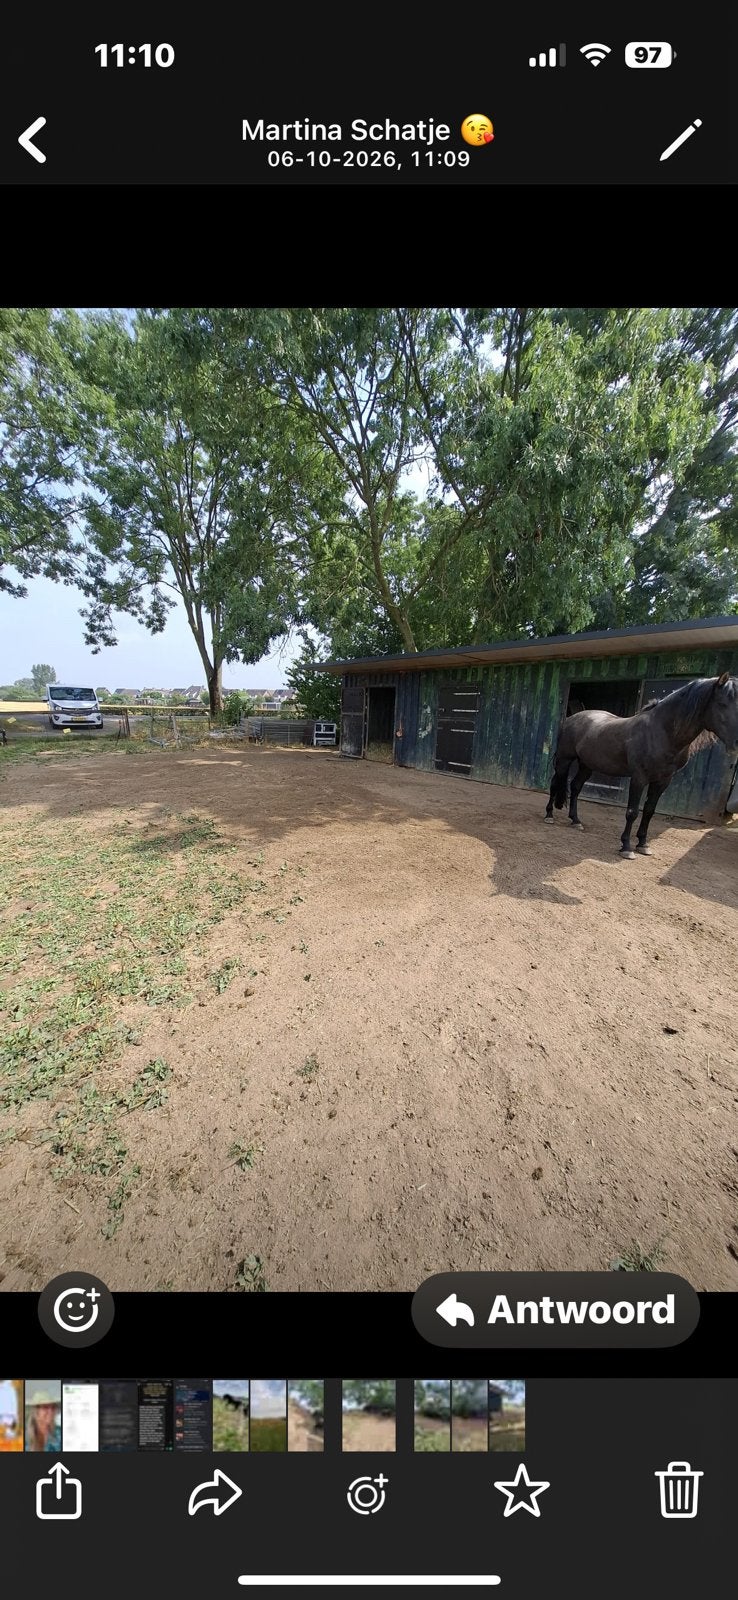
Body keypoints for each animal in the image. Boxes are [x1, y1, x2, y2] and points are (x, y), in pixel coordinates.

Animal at [545, 673, 738, 858]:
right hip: (564, 760)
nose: (736, 744)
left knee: (575, 787)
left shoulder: (663, 780)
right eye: (721, 704)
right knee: (555, 784)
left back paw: (576, 821)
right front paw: (626, 847)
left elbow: (649, 811)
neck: (660, 732)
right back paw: (549, 816)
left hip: (587, 765)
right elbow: (632, 812)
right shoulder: (639, 777)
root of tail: (571, 718)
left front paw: (643, 844)